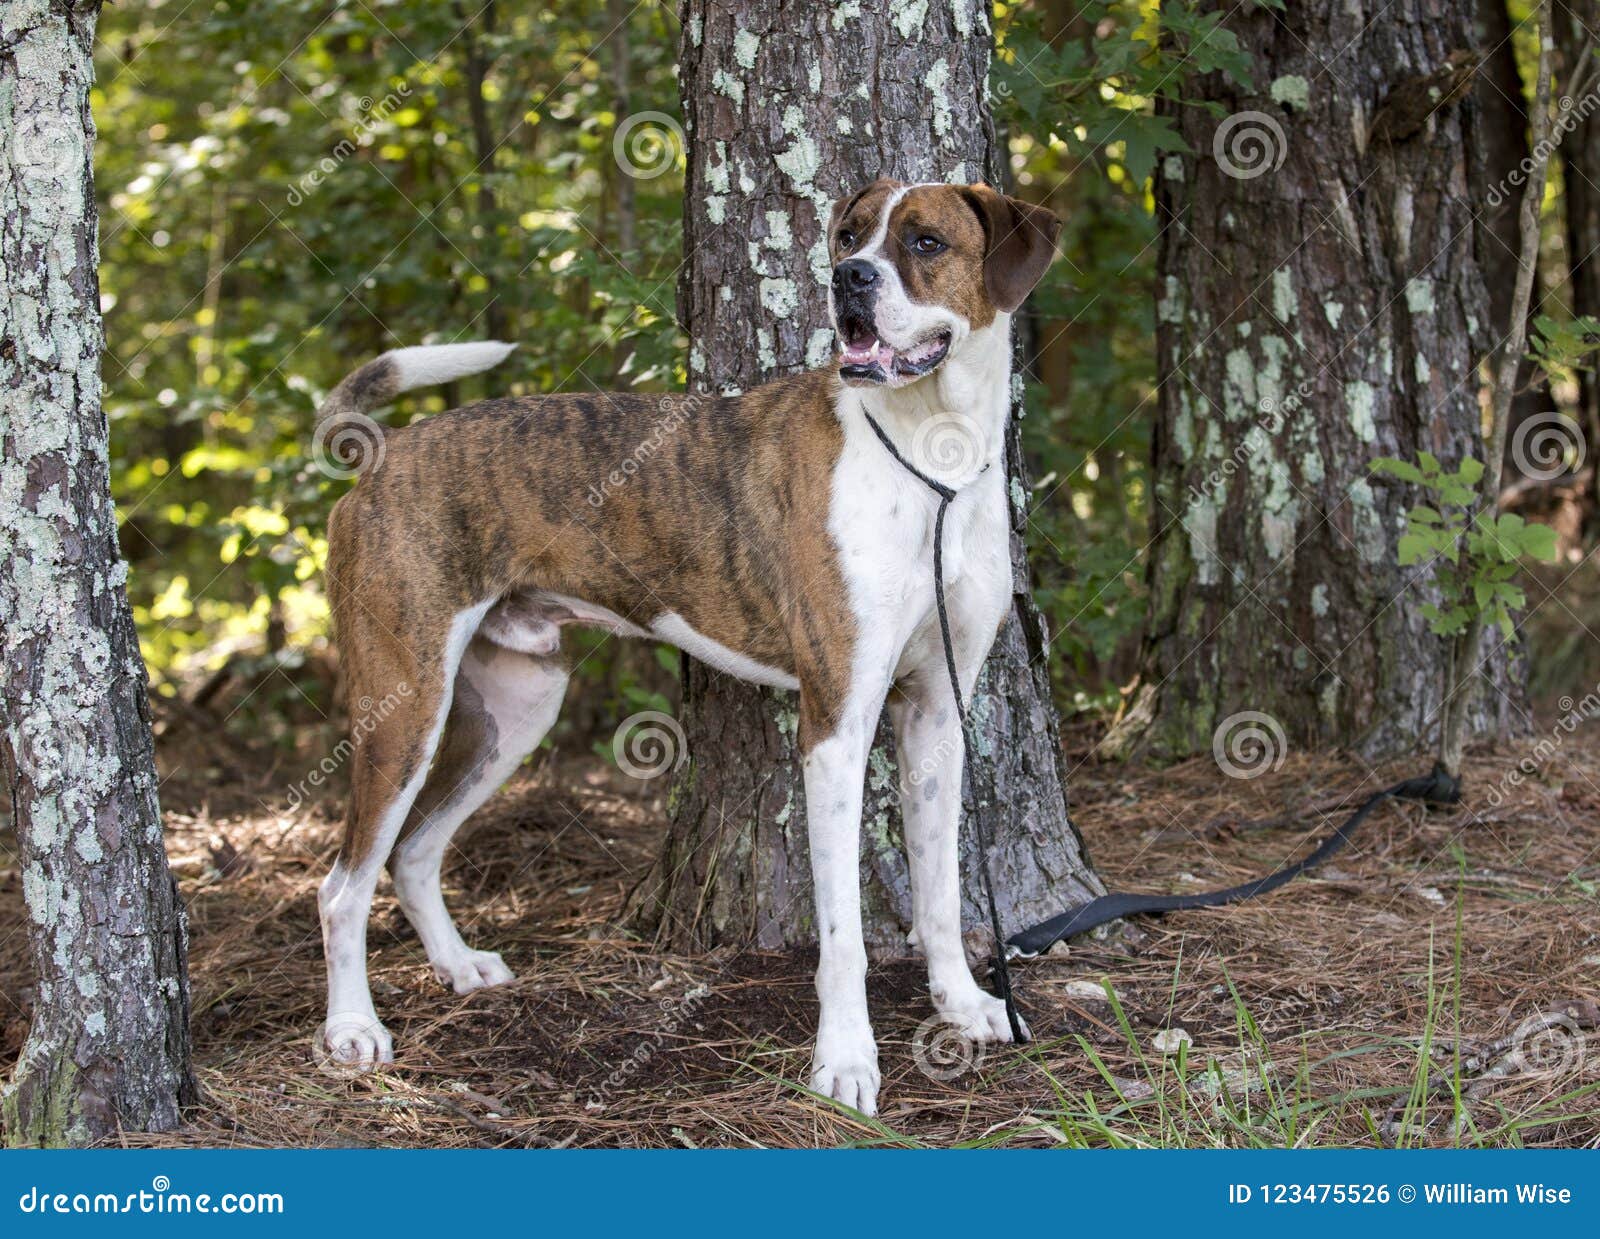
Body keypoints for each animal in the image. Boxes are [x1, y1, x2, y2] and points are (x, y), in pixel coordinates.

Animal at [312, 174, 1062, 1114]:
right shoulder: (838, 722)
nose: (848, 279)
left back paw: (458, 966)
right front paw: (845, 1060)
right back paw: (353, 1029)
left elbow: (939, 888)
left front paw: (961, 1004)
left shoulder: (935, 712)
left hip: (519, 704)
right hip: (405, 703)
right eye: (850, 235)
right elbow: (843, 932)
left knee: (413, 850)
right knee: (342, 884)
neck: (934, 454)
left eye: (925, 241)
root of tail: (379, 455)